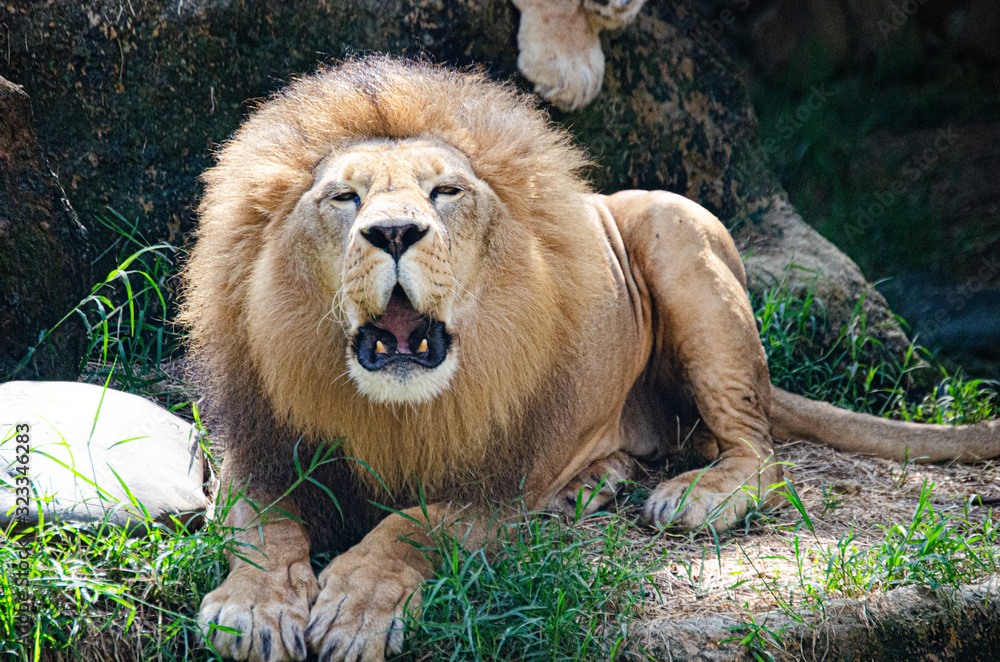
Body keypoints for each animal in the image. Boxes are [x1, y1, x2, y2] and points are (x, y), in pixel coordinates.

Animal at [182, 56, 1000, 662]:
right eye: (345, 199)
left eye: (446, 192)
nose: (393, 233)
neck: (394, 407)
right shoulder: (258, 447)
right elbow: (265, 527)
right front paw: (255, 610)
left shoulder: (497, 481)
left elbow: (412, 527)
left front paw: (355, 606)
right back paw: (590, 484)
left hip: (673, 227)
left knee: (758, 449)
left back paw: (700, 495)